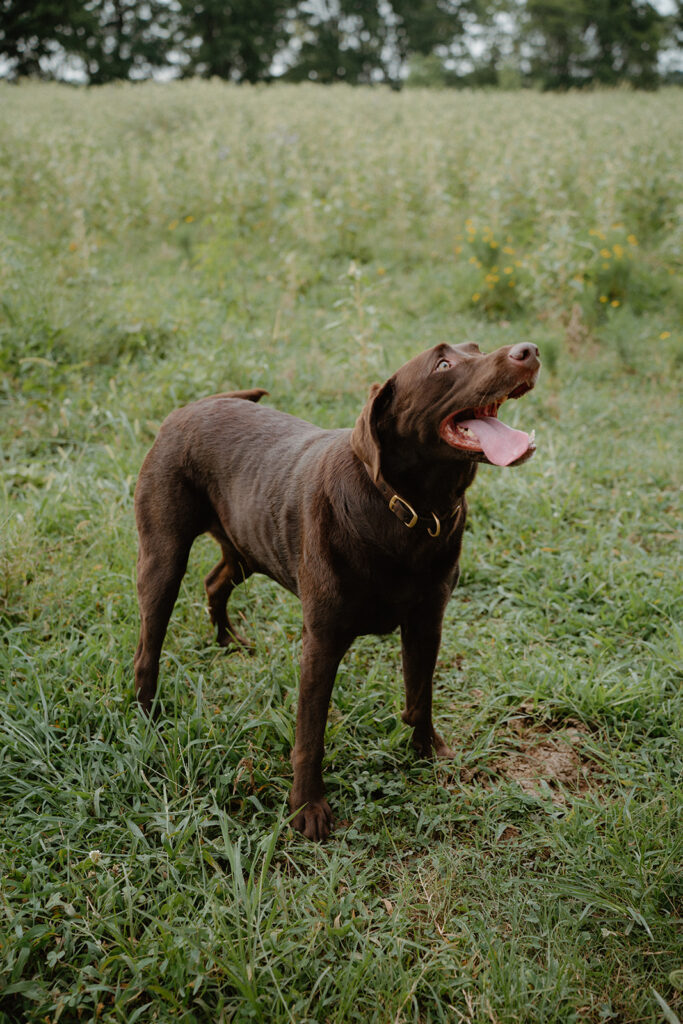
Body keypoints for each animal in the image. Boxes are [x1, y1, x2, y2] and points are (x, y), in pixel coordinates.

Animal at [133, 339, 540, 835]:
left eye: (476, 347)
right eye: (443, 363)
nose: (529, 349)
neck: (407, 509)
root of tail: (194, 405)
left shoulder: (428, 622)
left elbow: (420, 696)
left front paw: (426, 751)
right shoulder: (322, 642)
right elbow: (311, 734)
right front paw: (307, 807)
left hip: (246, 549)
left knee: (214, 582)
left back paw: (227, 640)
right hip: (163, 559)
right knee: (148, 645)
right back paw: (148, 715)